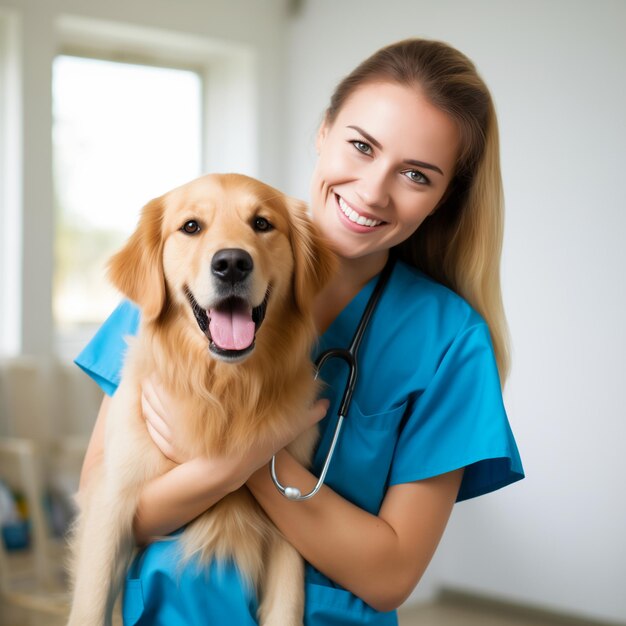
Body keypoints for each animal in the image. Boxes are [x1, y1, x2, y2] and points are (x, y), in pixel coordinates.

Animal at [68, 173, 336, 624]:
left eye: (262, 223)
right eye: (191, 227)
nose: (231, 263)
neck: (223, 389)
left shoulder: (290, 529)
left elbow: (287, 605)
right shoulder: (110, 501)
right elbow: (90, 603)